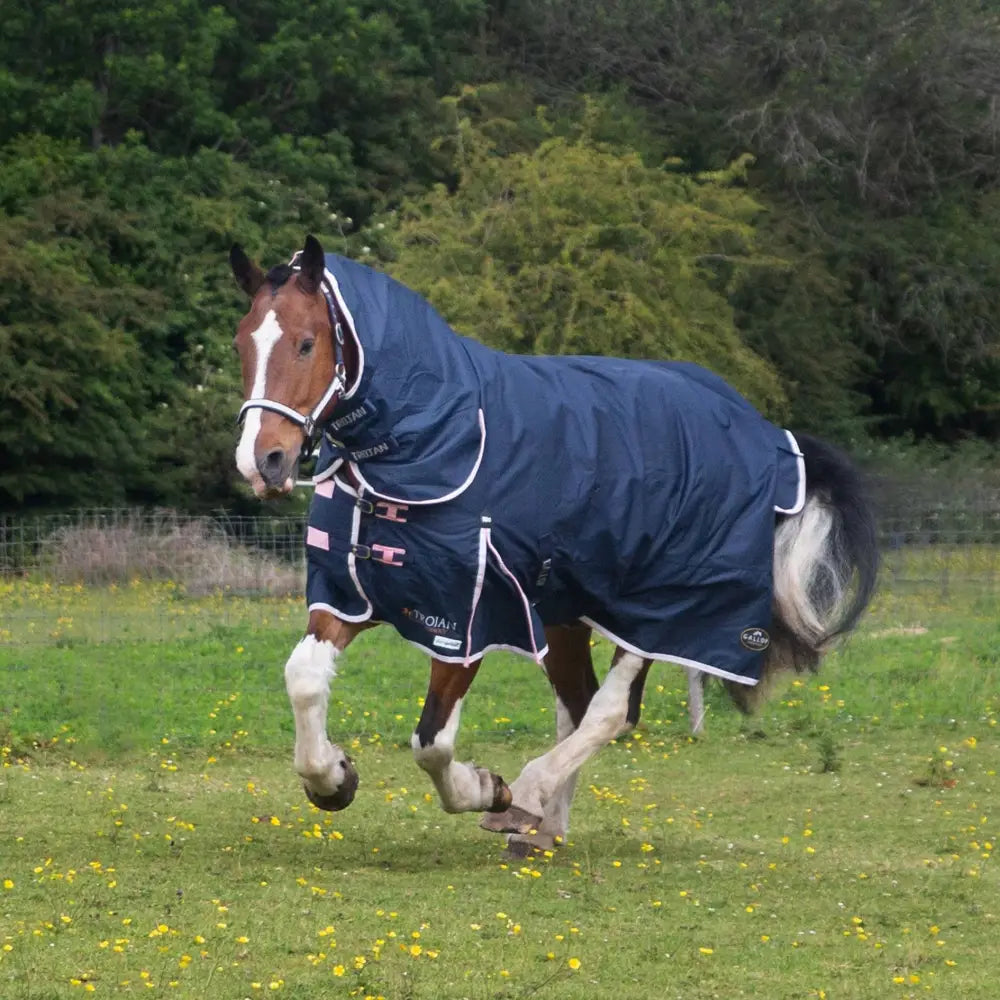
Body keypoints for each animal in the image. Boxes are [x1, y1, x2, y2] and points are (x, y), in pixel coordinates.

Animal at [229, 234, 878, 855]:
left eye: (307, 343)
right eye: (241, 345)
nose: (264, 462)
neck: (430, 441)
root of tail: (765, 435)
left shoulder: (468, 617)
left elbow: (432, 742)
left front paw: (487, 788)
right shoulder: (355, 593)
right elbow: (304, 676)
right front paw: (333, 779)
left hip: (658, 606)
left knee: (611, 710)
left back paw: (529, 794)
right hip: (569, 606)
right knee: (579, 701)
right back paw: (539, 826)